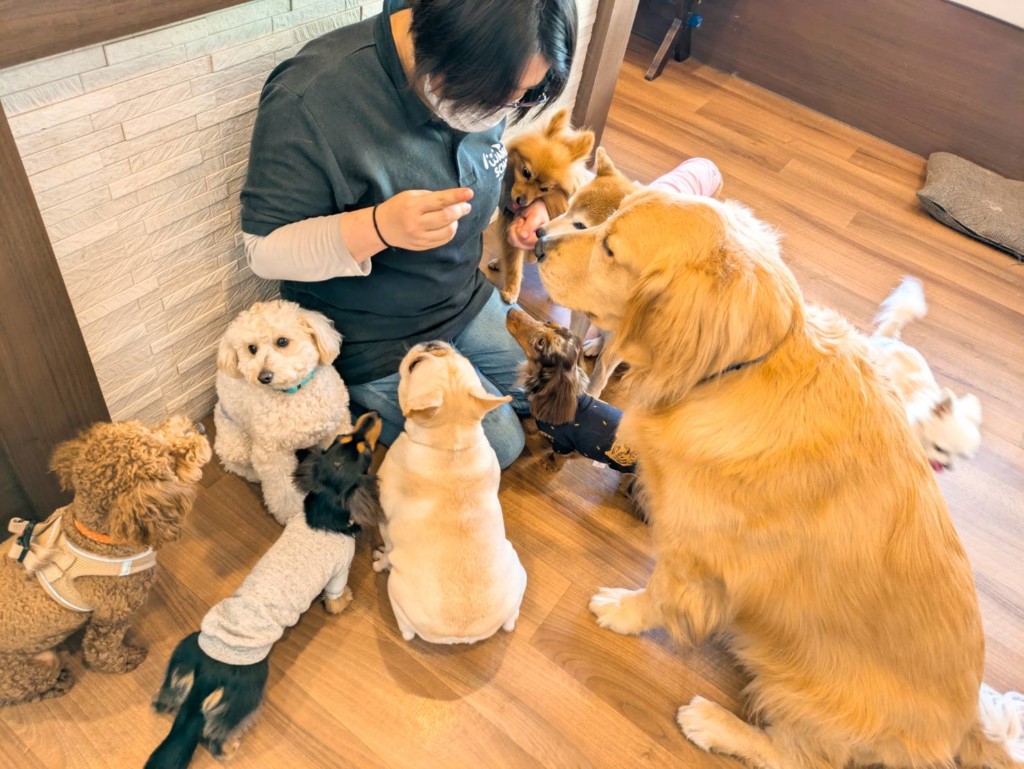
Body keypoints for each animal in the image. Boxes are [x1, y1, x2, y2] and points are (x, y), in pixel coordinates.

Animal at [0, 417, 210, 707]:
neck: (95, 536)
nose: (200, 427)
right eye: (168, 455)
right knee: (24, 692)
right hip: (36, 666)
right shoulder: (111, 617)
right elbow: (100, 652)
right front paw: (126, 659)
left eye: (149, 428)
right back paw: (57, 685)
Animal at [146, 412, 383, 769]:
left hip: (183, 657)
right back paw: (229, 747)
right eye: (366, 452)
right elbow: (336, 598)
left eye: (345, 439)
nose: (372, 415)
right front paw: (345, 602)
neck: (322, 509)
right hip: (249, 688)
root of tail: (206, 675)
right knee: (217, 735)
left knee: (166, 699)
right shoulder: (339, 570)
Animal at [214, 299, 351, 524]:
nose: (264, 377)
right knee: (232, 462)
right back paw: (253, 474)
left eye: (282, 341)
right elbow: (283, 491)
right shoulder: (272, 454)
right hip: (236, 443)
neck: (295, 393)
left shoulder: (336, 428)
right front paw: (292, 514)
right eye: (252, 348)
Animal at [373, 342, 527, 644]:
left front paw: (380, 558)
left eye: (413, 366)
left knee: (406, 630)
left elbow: (387, 547)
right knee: (512, 619)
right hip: (517, 565)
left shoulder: (385, 519)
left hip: (395, 592)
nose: (433, 344)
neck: (451, 441)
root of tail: (461, 635)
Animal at [493, 106, 594, 304]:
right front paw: (511, 289)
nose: (521, 200)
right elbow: (513, 264)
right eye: (526, 172)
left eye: (545, 189)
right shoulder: (511, 228)